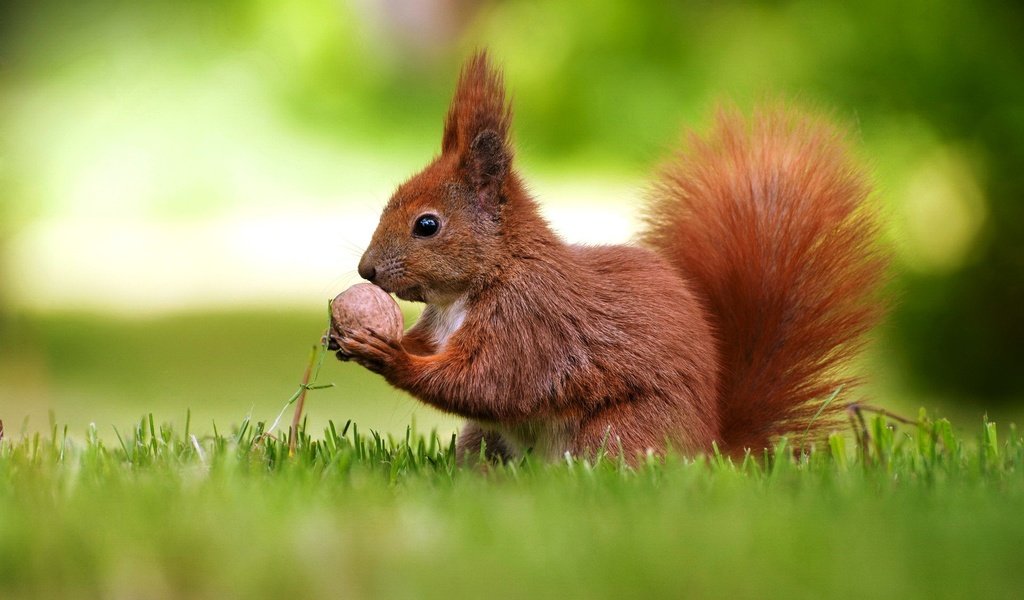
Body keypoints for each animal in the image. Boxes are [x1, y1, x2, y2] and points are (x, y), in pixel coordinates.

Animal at [333, 52, 888, 462]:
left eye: (427, 225)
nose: (366, 270)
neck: (473, 287)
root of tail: (710, 448)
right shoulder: (444, 325)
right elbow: (436, 353)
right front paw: (351, 338)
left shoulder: (531, 324)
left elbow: (487, 384)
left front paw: (390, 356)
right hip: (484, 440)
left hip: (617, 433)